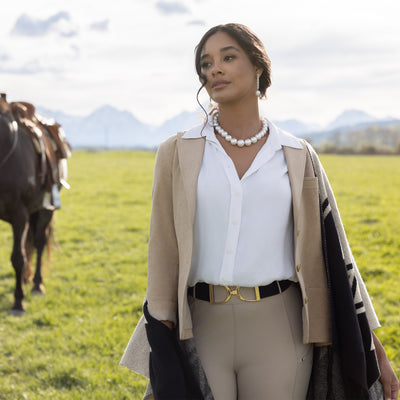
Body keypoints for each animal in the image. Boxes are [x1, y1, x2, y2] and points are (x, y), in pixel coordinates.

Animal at [0, 94, 69, 316]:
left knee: (38, 243)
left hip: (45, 210)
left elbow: (17, 258)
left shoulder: (19, 215)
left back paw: (37, 284)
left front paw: (18, 302)